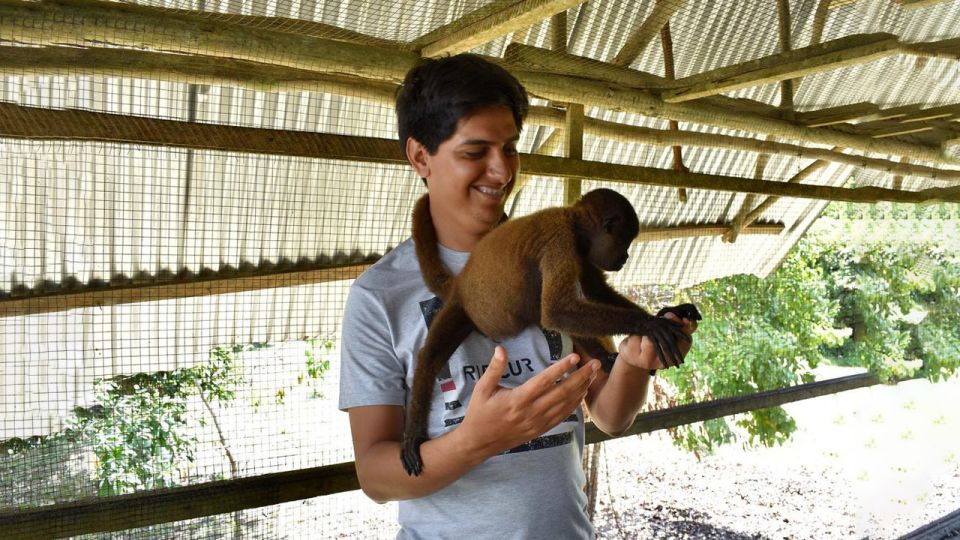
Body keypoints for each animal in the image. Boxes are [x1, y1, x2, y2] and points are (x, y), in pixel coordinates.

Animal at [402, 188, 700, 474]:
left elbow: (595, 290)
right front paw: (651, 325)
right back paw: (413, 433)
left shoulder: (582, 253)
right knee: (432, 357)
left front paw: (668, 311)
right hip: (460, 308)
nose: (626, 257)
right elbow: (558, 310)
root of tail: (460, 283)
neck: (573, 221)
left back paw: (604, 360)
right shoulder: (561, 241)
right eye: (626, 241)